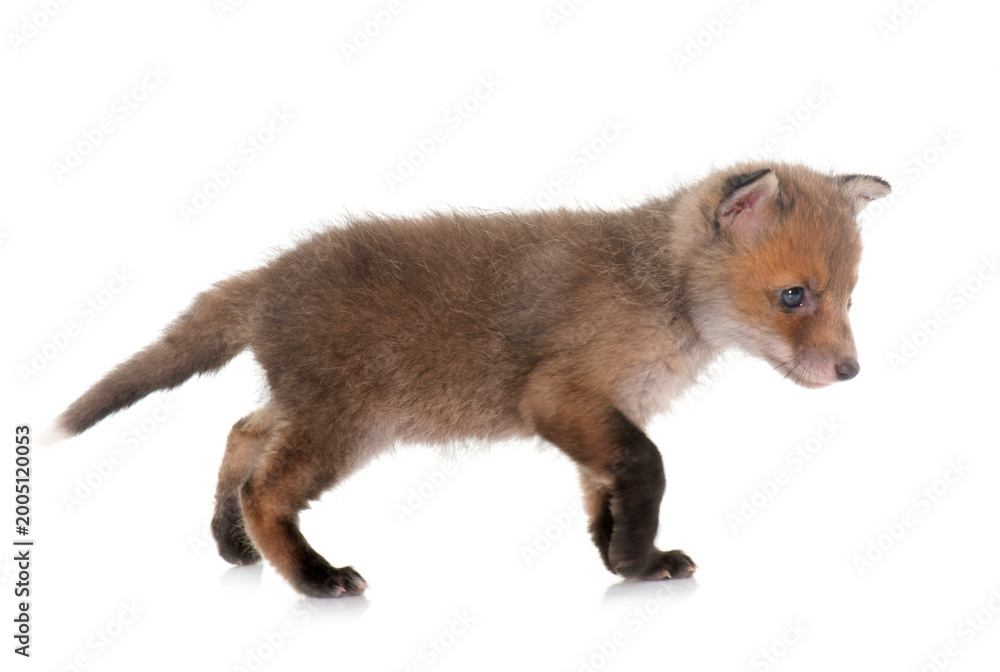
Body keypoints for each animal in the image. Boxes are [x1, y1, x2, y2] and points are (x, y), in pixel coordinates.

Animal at [49, 162, 890, 598]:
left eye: (850, 298)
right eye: (794, 296)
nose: (851, 371)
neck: (661, 294)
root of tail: (270, 276)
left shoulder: (603, 415)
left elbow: (606, 495)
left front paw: (629, 562)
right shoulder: (564, 397)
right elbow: (647, 469)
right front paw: (632, 558)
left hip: (309, 413)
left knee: (240, 434)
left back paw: (230, 544)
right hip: (342, 430)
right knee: (265, 489)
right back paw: (314, 577)